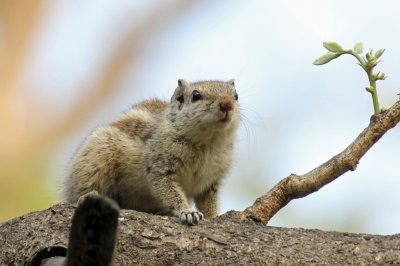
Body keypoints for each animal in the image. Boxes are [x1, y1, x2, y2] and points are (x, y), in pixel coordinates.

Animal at [61, 79, 241, 224]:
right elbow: (169, 191)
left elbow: (209, 203)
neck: (208, 143)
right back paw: (87, 196)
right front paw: (187, 212)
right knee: (78, 193)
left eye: (236, 95)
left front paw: (214, 216)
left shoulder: (211, 182)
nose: (227, 104)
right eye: (195, 95)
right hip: (94, 160)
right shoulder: (160, 167)